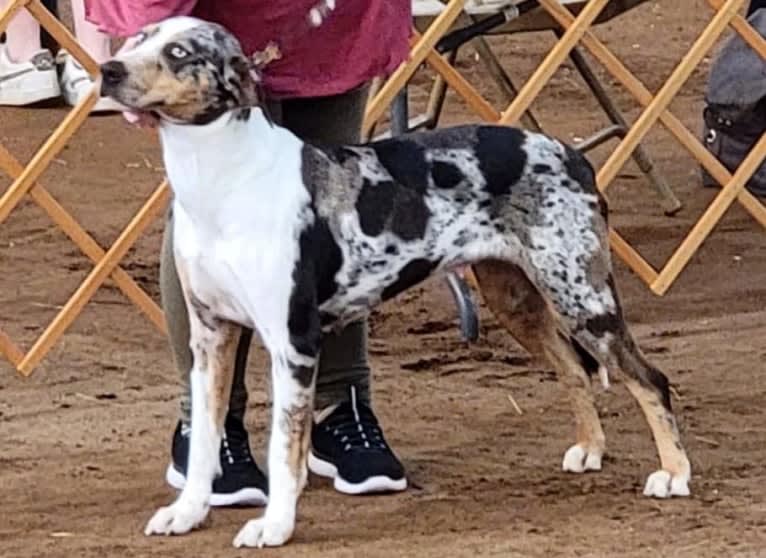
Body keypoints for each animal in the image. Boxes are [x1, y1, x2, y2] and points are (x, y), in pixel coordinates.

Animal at [99, 16, 692, 552]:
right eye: (136, 38)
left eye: (178, 52)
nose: (108, 71)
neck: (223, 179)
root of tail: (572, 154)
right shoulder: (210, 335)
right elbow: (205, 439)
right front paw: (188, 513)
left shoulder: (293, 342)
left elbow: (284, 449)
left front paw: (275, 527)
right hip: (516, 298)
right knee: (574, 370)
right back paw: (590, 449)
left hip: (582, 298)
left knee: (649, 379)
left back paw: (674, 474)